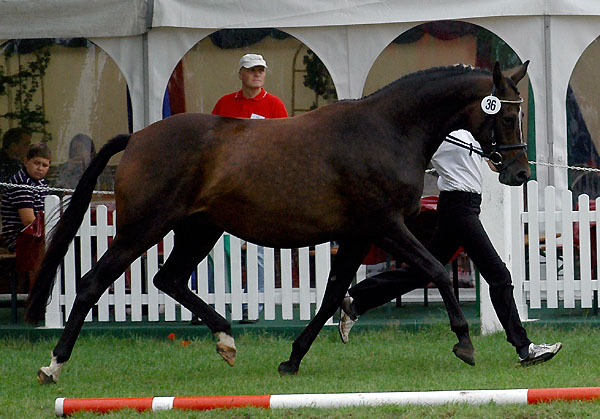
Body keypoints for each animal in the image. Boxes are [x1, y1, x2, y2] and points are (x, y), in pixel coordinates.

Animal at [25, 60, 528, 384]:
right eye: (505, 113)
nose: (519, 173)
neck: (387, 130)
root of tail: (138, 137)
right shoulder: (385, 226)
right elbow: (438, 271)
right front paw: (464, 343)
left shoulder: (357, 235)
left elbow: (332, 296)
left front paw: (293, 359)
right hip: (142, 229)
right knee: (93, 283)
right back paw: (53, 365)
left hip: (199, 229)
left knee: (170, 278)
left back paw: (226, 339)